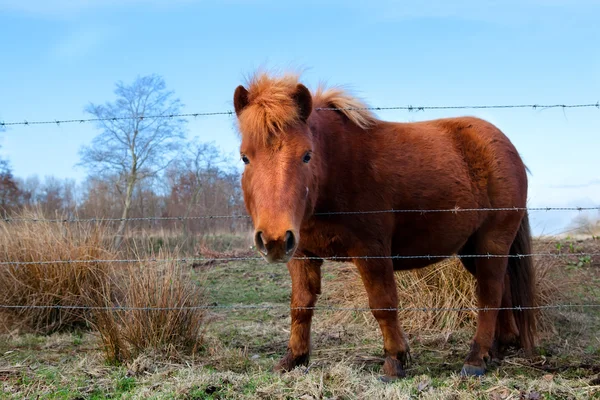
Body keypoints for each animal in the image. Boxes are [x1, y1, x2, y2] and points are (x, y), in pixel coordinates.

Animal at [232, 70, 536, 380]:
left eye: (306, 155)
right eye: (245, 157)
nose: (274, 239)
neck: (336, 169)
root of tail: (506, 147)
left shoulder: (371, 251)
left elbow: (383, 304)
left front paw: (394, 360)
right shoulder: (302, 254)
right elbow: (301, 306)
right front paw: (293, 358)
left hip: (491, 242)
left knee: (490, 294)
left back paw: (475, 359)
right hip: (471, 249)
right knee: (502, 290)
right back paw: (497, 349)